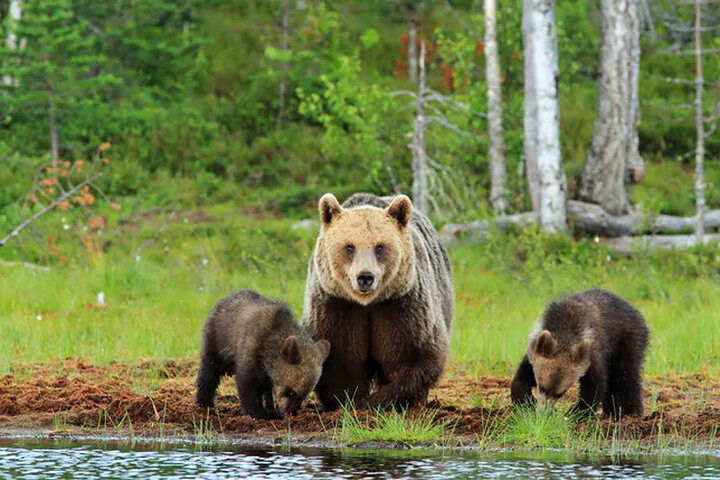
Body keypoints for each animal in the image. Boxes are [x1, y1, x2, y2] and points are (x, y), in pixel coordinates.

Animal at [300, 193, 452, 410]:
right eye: (349, 246)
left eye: (380, 246)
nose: (365, 277)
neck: (368, 303)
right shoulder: (336, 305)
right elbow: (338, 359)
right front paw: (351, 400)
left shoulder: (401, 305)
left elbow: (413, 355)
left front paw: (379, 401)